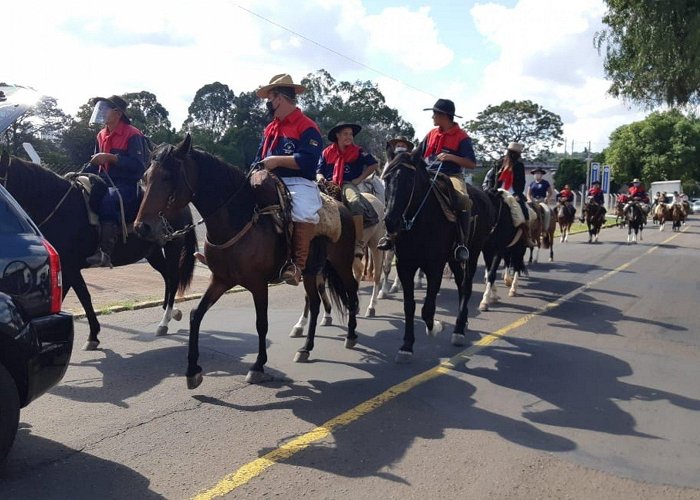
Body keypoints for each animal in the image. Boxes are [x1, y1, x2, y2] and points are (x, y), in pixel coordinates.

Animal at [0, 150, 197, 350]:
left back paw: (165, 321)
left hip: (172, 246)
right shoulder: (68, 269)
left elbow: (81, 297)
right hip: (153, 253)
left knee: (173, 278)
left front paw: (91, 336)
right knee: (167, 276)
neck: (59, 206)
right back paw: (170, 311)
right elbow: (75, 297)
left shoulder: (70, 267)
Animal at [135, 135, 360, 388]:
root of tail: (341, 206)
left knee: (351, 288)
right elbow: (195, 315)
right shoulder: (220, 280)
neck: (238, 221)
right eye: (146, 177)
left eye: (167, 176)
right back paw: (305, 348)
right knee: (314, 302)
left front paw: (258, 366)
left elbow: (261, 323)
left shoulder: (258, 284)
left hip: (341, 262)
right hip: (311, 272)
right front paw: (192, 370)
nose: (142, 227)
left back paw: (351, 335)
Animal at [382, 147, 492, 360]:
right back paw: (463, 322)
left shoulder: (435, 267)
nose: (390, 221)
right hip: (455, 260)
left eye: (409, 180)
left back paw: (459, 330)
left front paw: (436, 327)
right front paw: (406, 346)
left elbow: (428, 309)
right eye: (386, 178)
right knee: (461, 286)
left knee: (465, 286)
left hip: (472, 254)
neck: (419, 223)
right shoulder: (404, 265)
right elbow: (409, 306)